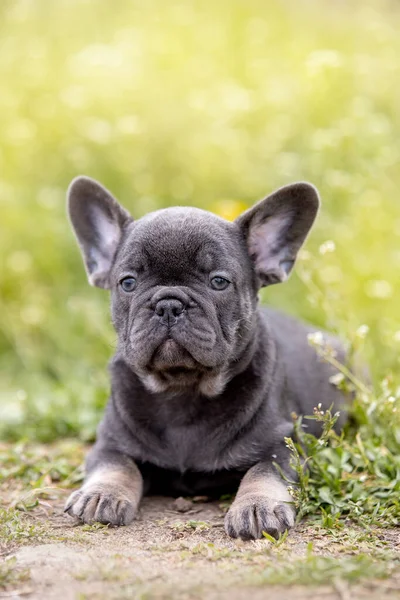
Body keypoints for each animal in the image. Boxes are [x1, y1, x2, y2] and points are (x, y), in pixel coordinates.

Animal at [64, 177, 346, 540]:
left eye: (219, 282)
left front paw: (257, 506)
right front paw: (101, 494)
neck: (182, 390)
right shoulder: (110, 443)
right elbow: (117, 464)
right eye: (127, 282)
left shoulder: (284, 445)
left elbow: (265, 472)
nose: (169, 304)